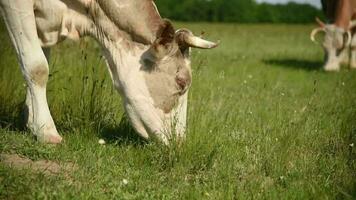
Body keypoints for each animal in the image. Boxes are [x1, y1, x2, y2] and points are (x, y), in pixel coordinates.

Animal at [0, 0, 218, 145]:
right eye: (181, 82)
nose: (179, 142)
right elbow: (37, 67)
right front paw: (46, 131)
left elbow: (38, 61)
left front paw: (31, 122)